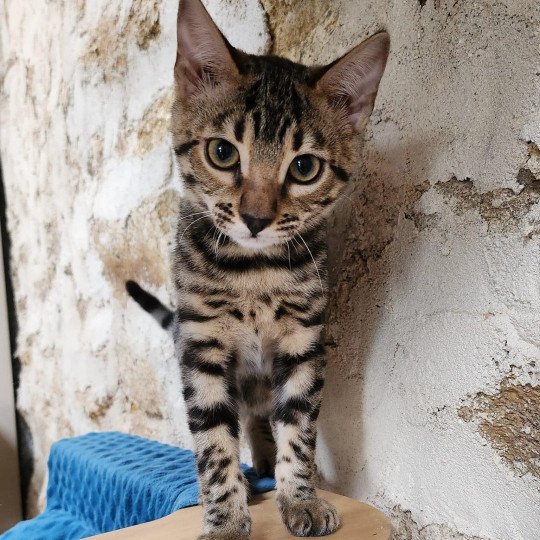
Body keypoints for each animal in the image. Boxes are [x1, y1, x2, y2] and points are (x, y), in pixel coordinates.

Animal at [127, 0, 388, 536]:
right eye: (222, 152)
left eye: (305, 167)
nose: (254, 218)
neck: (255, 273)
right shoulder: (201, 346)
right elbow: (213, 441)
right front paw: (226, 518)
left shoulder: (303, 344)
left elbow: (298, 426)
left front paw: (300, 497)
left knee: (260, 418)